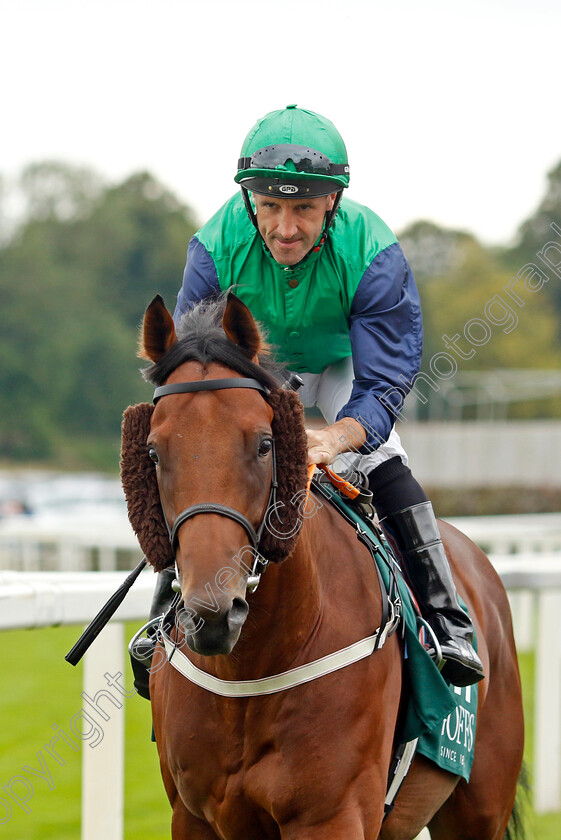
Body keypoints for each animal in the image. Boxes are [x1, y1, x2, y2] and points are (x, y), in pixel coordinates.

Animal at [121, 294, 524, 840]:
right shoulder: (192, 815)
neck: (251, 669)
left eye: (265, 443)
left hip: (479, 807)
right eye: (153, 451)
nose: (211, 614)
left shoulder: (333, 814)